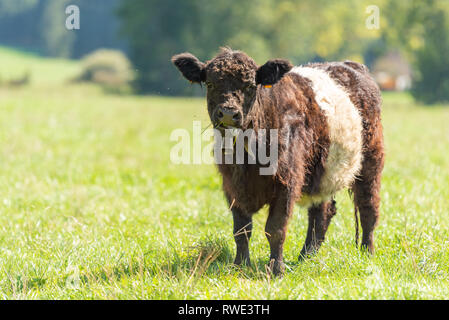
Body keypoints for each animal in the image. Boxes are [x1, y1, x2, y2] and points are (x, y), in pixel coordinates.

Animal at [172, 47, 384, 276]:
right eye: (210, 84)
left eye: (250, 85)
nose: (228, 113)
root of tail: (350, 65)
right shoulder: (232, 186)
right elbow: (241, 230)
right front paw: (240, 265)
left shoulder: (287, 182)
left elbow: (275, 228)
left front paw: (276, 269)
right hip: (324, 174)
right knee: (322, 213)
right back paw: (306, 257)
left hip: (371, 161)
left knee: (368, 208)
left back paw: (367, 253)